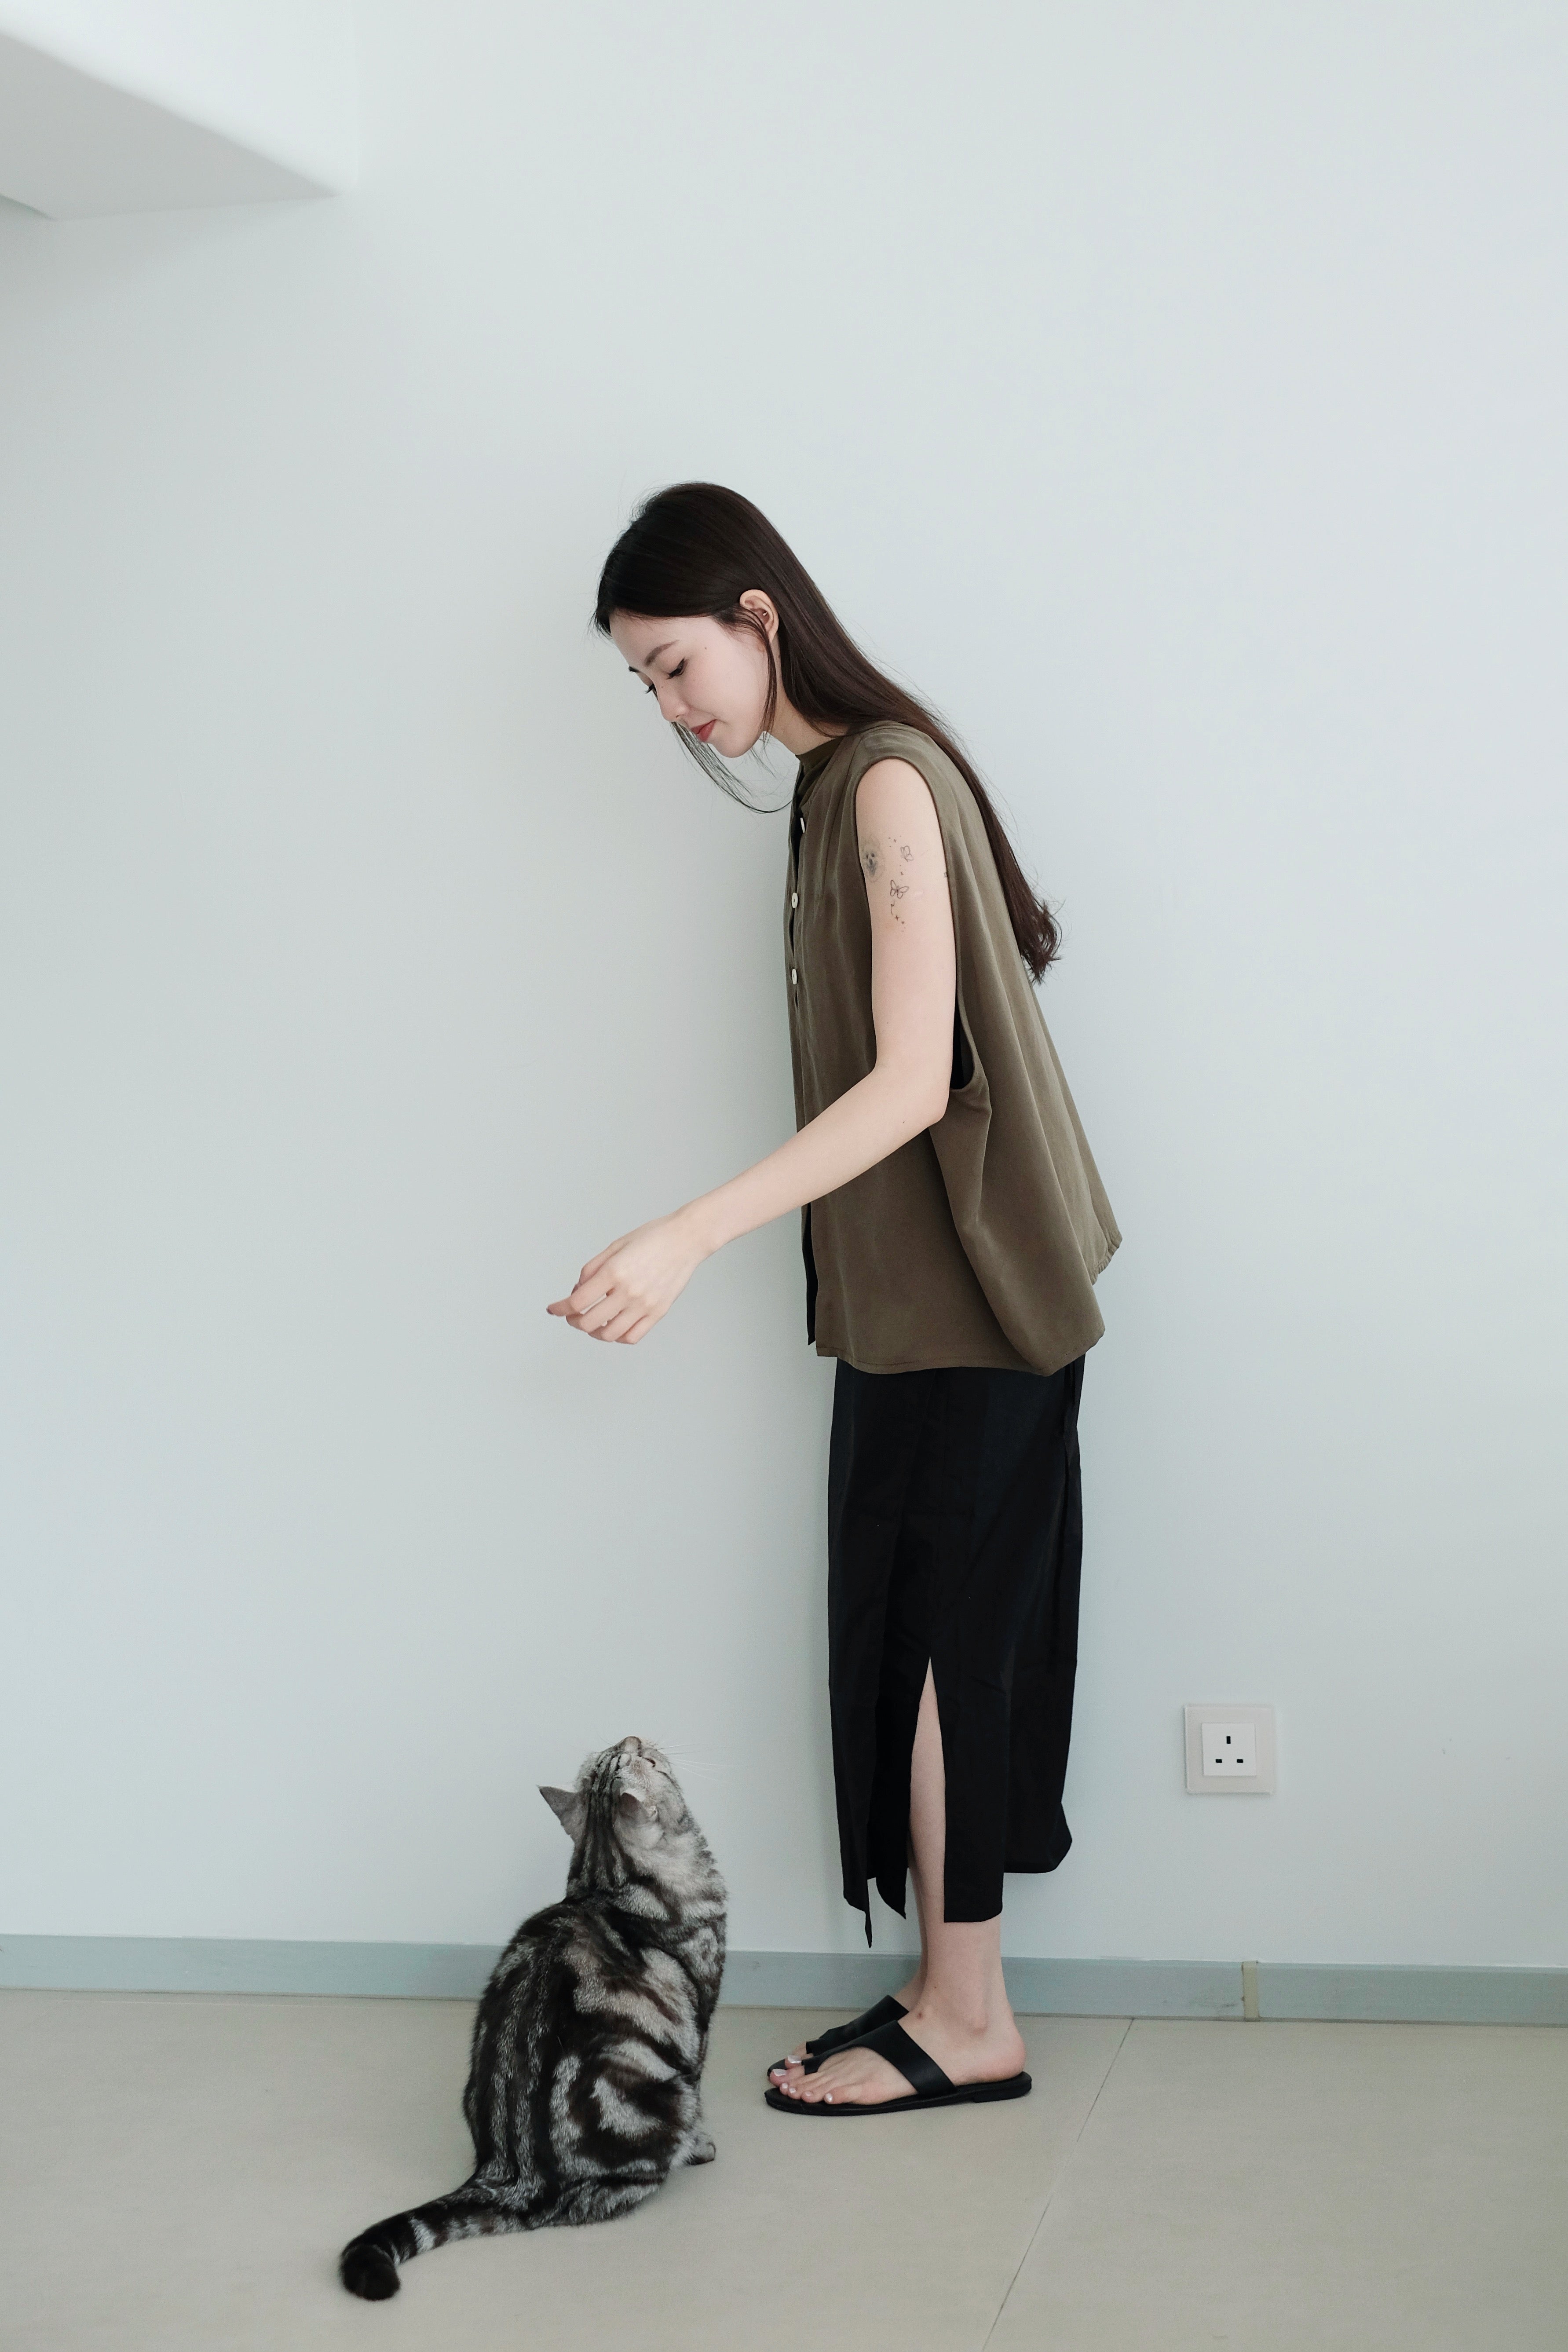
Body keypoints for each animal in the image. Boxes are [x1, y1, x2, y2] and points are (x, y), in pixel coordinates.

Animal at [339, 1734, 726, 2300]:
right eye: (648, 1761)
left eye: (621, 1749)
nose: (635, 1738)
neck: (607, 1882)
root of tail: (509, 2175)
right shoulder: (700, 2019)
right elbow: (700, 2092)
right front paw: (701, 2146)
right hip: (664, 2097)